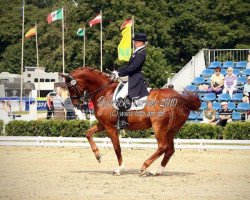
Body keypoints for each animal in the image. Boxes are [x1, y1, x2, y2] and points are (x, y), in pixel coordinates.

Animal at [60, 67, 201, 175]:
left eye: (70, 87)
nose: (76, 104)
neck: (104, 91)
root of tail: (182, 99)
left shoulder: (110, 127)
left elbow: (117, 147)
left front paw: (119, 169)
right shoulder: (103, 124)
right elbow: (88, 133)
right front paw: (98, 156)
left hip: (159, 127)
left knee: (163, 147)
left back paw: (144, 167)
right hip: (171, 130)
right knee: (170, 150)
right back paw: (157, 171)